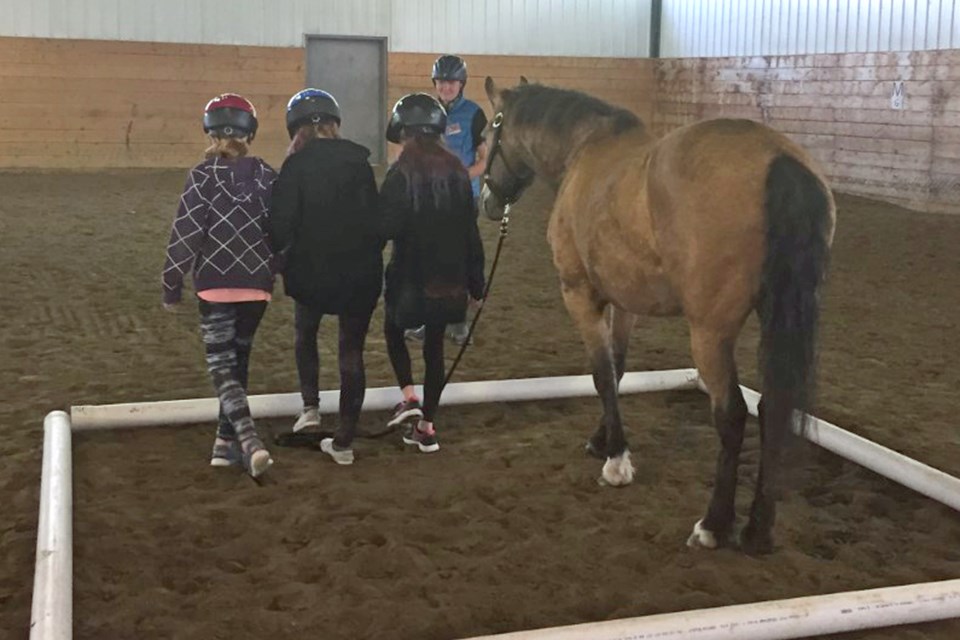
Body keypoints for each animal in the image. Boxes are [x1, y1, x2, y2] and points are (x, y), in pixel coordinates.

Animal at [480, 76, 832, 556]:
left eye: (486, 134)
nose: (486, 200)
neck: (583, 150)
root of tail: (779, 159)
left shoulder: (579, 294)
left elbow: (601, 374)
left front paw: (616, 461)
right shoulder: (625, 303)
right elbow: (618, 369)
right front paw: (602, 441)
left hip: (709, 333)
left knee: (733, 415)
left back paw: (714, 524)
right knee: (774, 408)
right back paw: (758, 531)